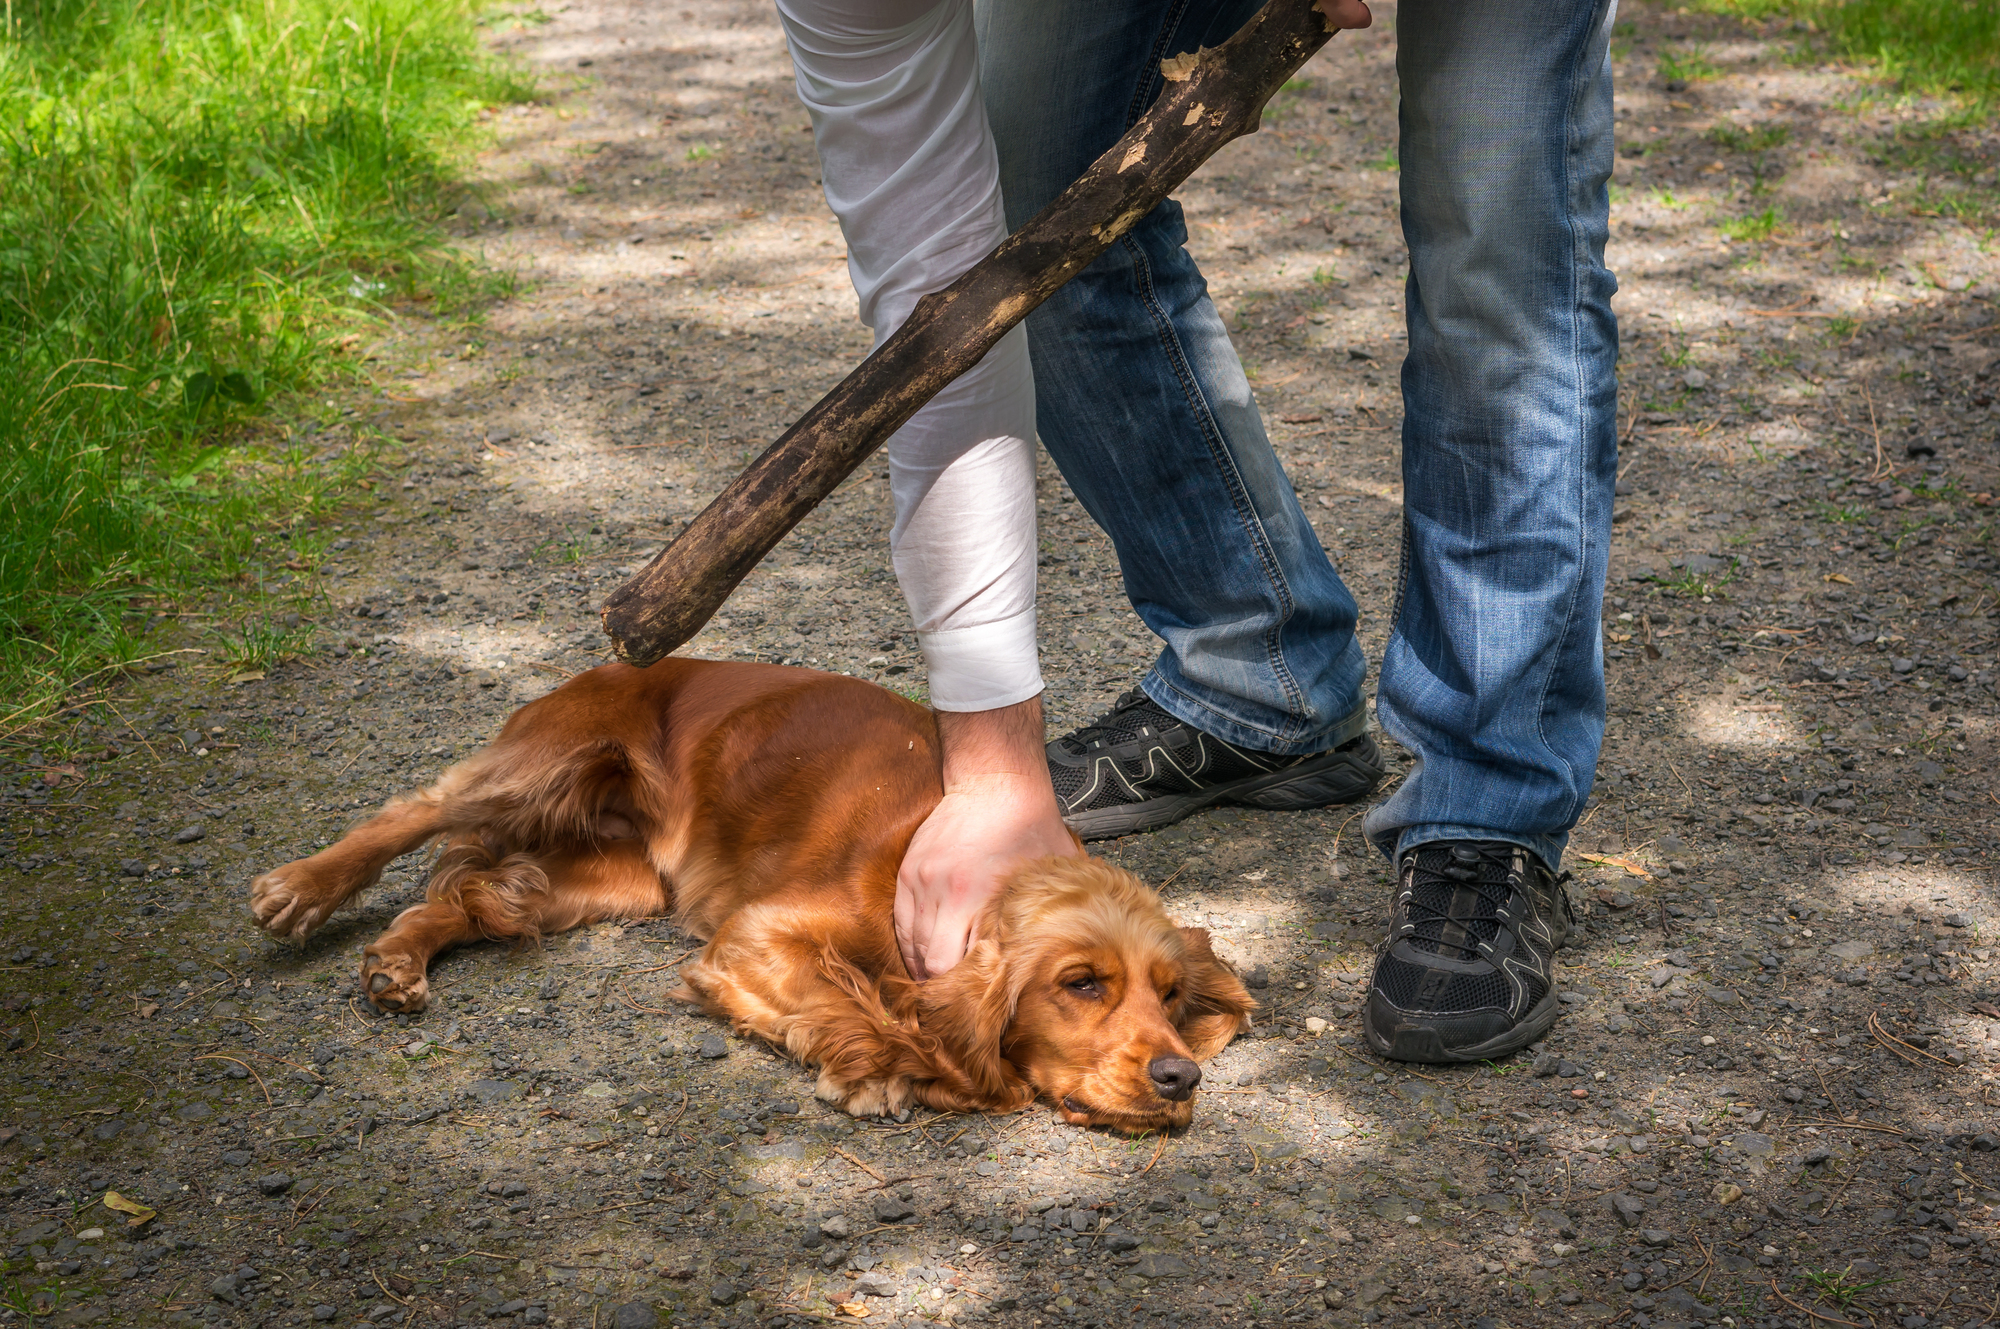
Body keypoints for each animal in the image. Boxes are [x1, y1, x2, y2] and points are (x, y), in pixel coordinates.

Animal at [250, 660, 1248, 1128]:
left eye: (1170, 996)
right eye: (1080, 983)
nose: (1180, 1076)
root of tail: (623, 662)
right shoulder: (753, 933)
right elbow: (851, 999)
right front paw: (890, 1066)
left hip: (614, 878)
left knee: (480, 894)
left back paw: (396, 960)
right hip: (548, 757)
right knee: (417, 807)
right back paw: (299, 887)